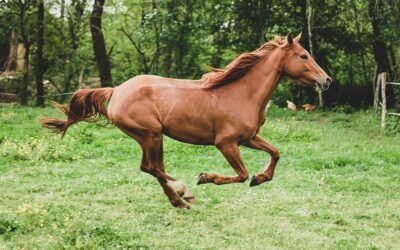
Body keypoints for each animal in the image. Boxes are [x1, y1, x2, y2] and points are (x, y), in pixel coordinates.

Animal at [39, 33, 332, 209]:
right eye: (304, 56)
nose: (327, 80)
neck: (241, 93)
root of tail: (117, 90)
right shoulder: (226, 143)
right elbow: (240, 174)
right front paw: (206, 177)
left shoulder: (248, 138)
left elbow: (275, 153)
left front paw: (260, 178)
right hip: (150, 135)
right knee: (151, 168)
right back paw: (184, 191)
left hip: (153, 138)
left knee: (153, 168)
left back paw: (179, 199)